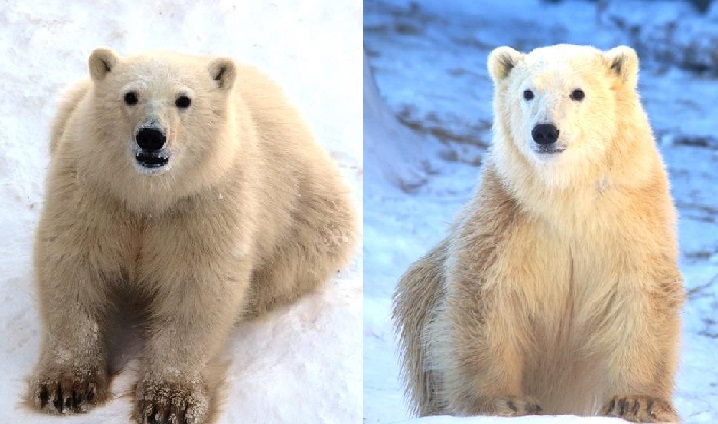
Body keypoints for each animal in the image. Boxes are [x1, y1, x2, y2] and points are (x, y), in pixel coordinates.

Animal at [29, 48, 357, 424]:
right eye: (130, 95)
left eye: (184, 99)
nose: (151, 136)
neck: (149, 196)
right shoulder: (95, 189)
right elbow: (73, 264)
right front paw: (66, 387)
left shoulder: (204, 203)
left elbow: (197, 287)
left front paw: (169, 402)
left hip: (308, 215)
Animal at [393, 44, 684, 423]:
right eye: (528, 92)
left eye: (578, 93)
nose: (545, 132)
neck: (563, 194)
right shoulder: (505, 216)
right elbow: (489, 296)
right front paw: (504, 401)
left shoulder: (631, 216)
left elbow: (640, 295)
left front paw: (638, 402)